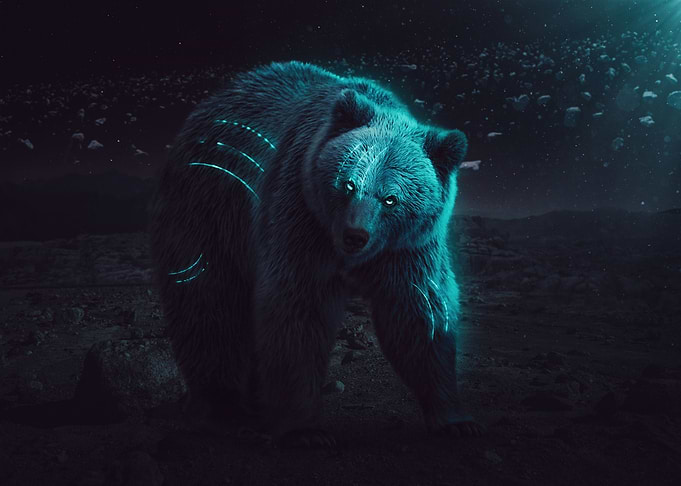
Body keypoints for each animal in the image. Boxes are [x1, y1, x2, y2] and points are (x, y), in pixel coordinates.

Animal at [149, 60, 483, 446]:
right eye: (349, 184)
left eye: (391, 198)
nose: (355, 236)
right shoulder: (299, 217)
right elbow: (297, 311)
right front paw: (305, 429)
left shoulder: (408, 249)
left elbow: (419, 314)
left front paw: (456, 420)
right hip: (209, 204)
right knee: (209, 303)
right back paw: (224, 407)